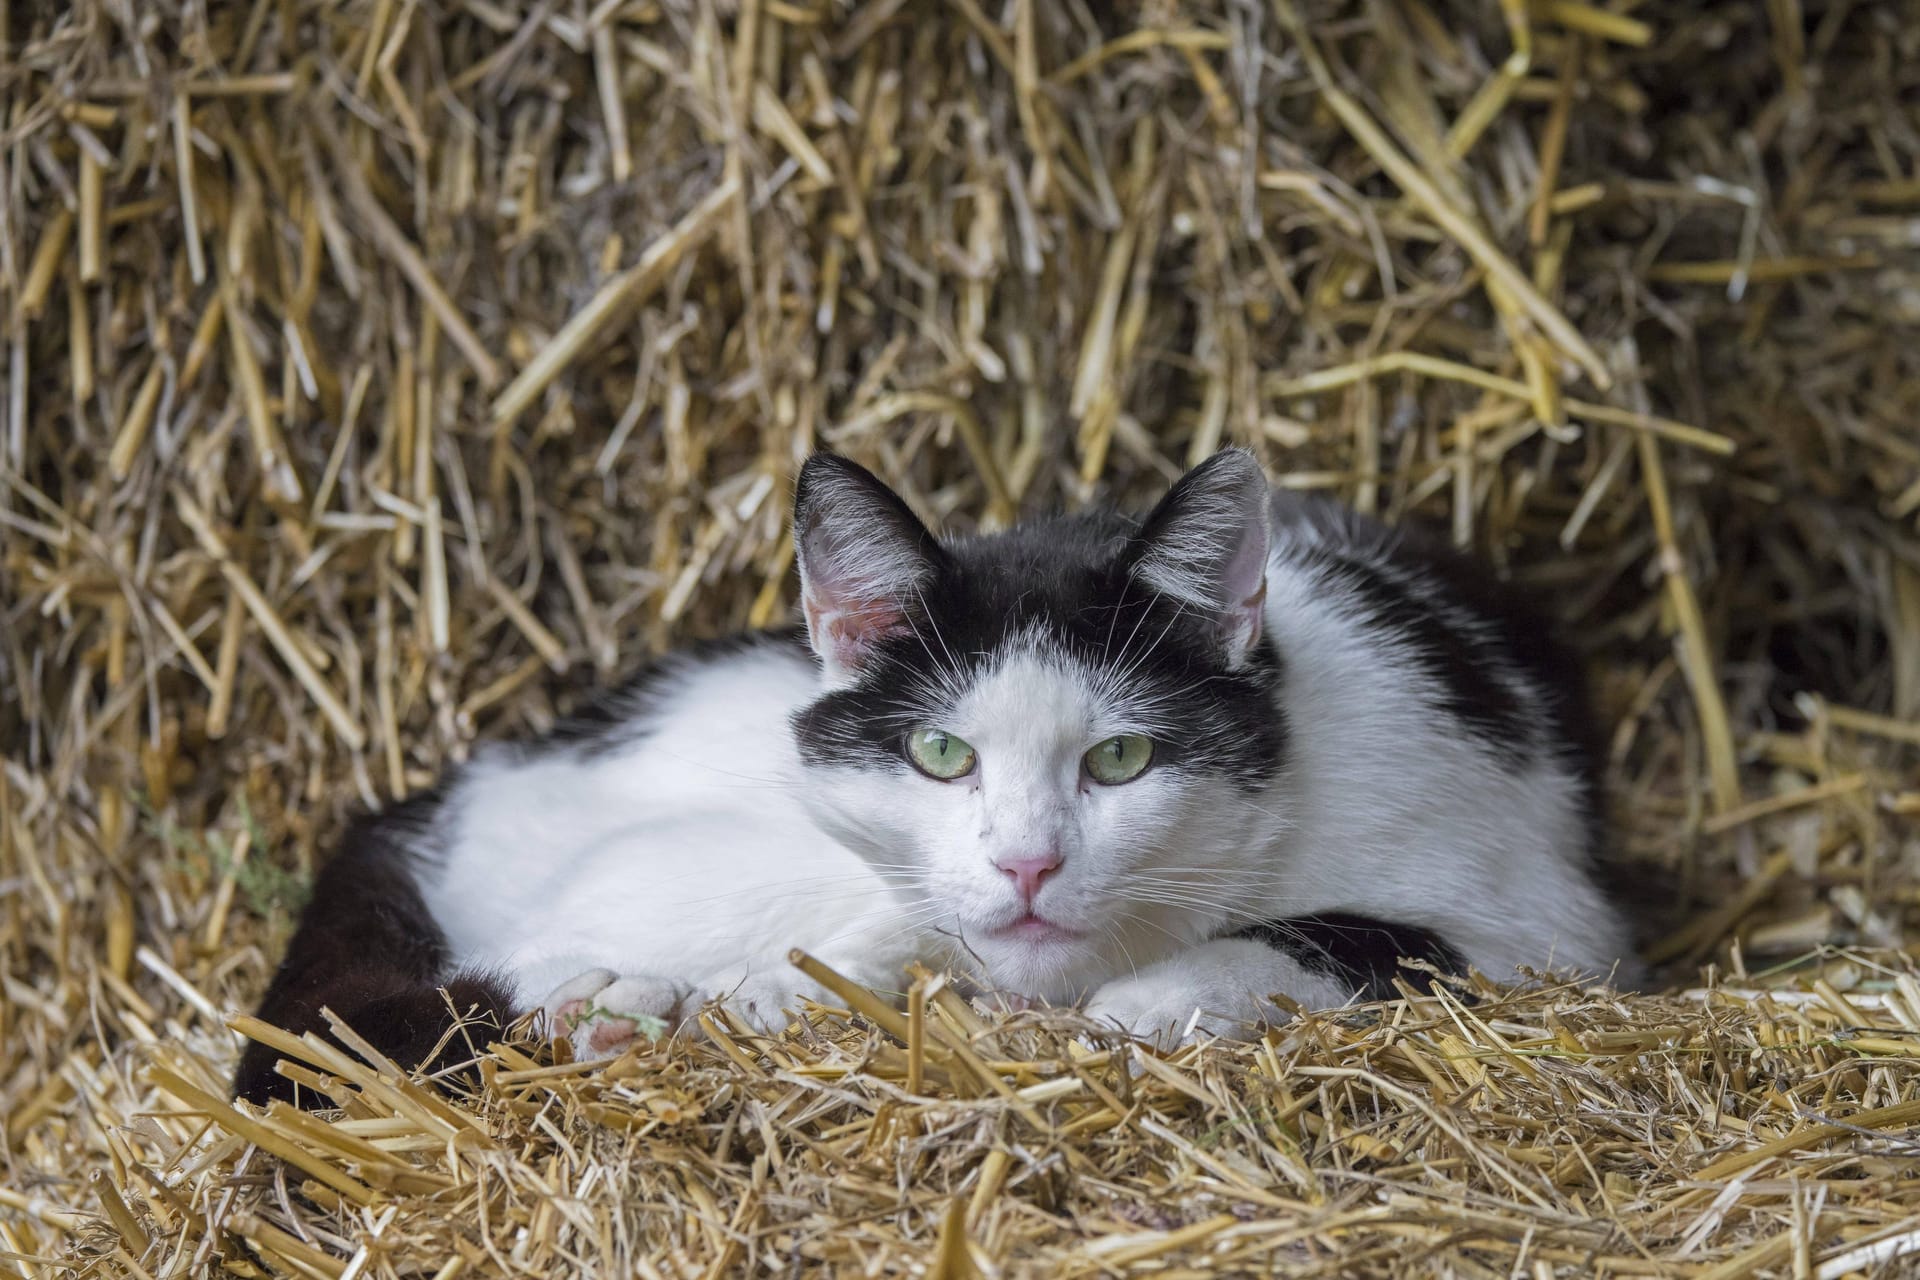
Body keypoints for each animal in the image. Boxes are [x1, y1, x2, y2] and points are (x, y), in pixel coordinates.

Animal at [232, 445, 1628, 1105]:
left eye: (1123, 755)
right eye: (940, 753)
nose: (1026, 862)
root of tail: (437, 797)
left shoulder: (1546, 917)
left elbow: (1366, 934)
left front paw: (1163, 994)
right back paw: (616, 1002)